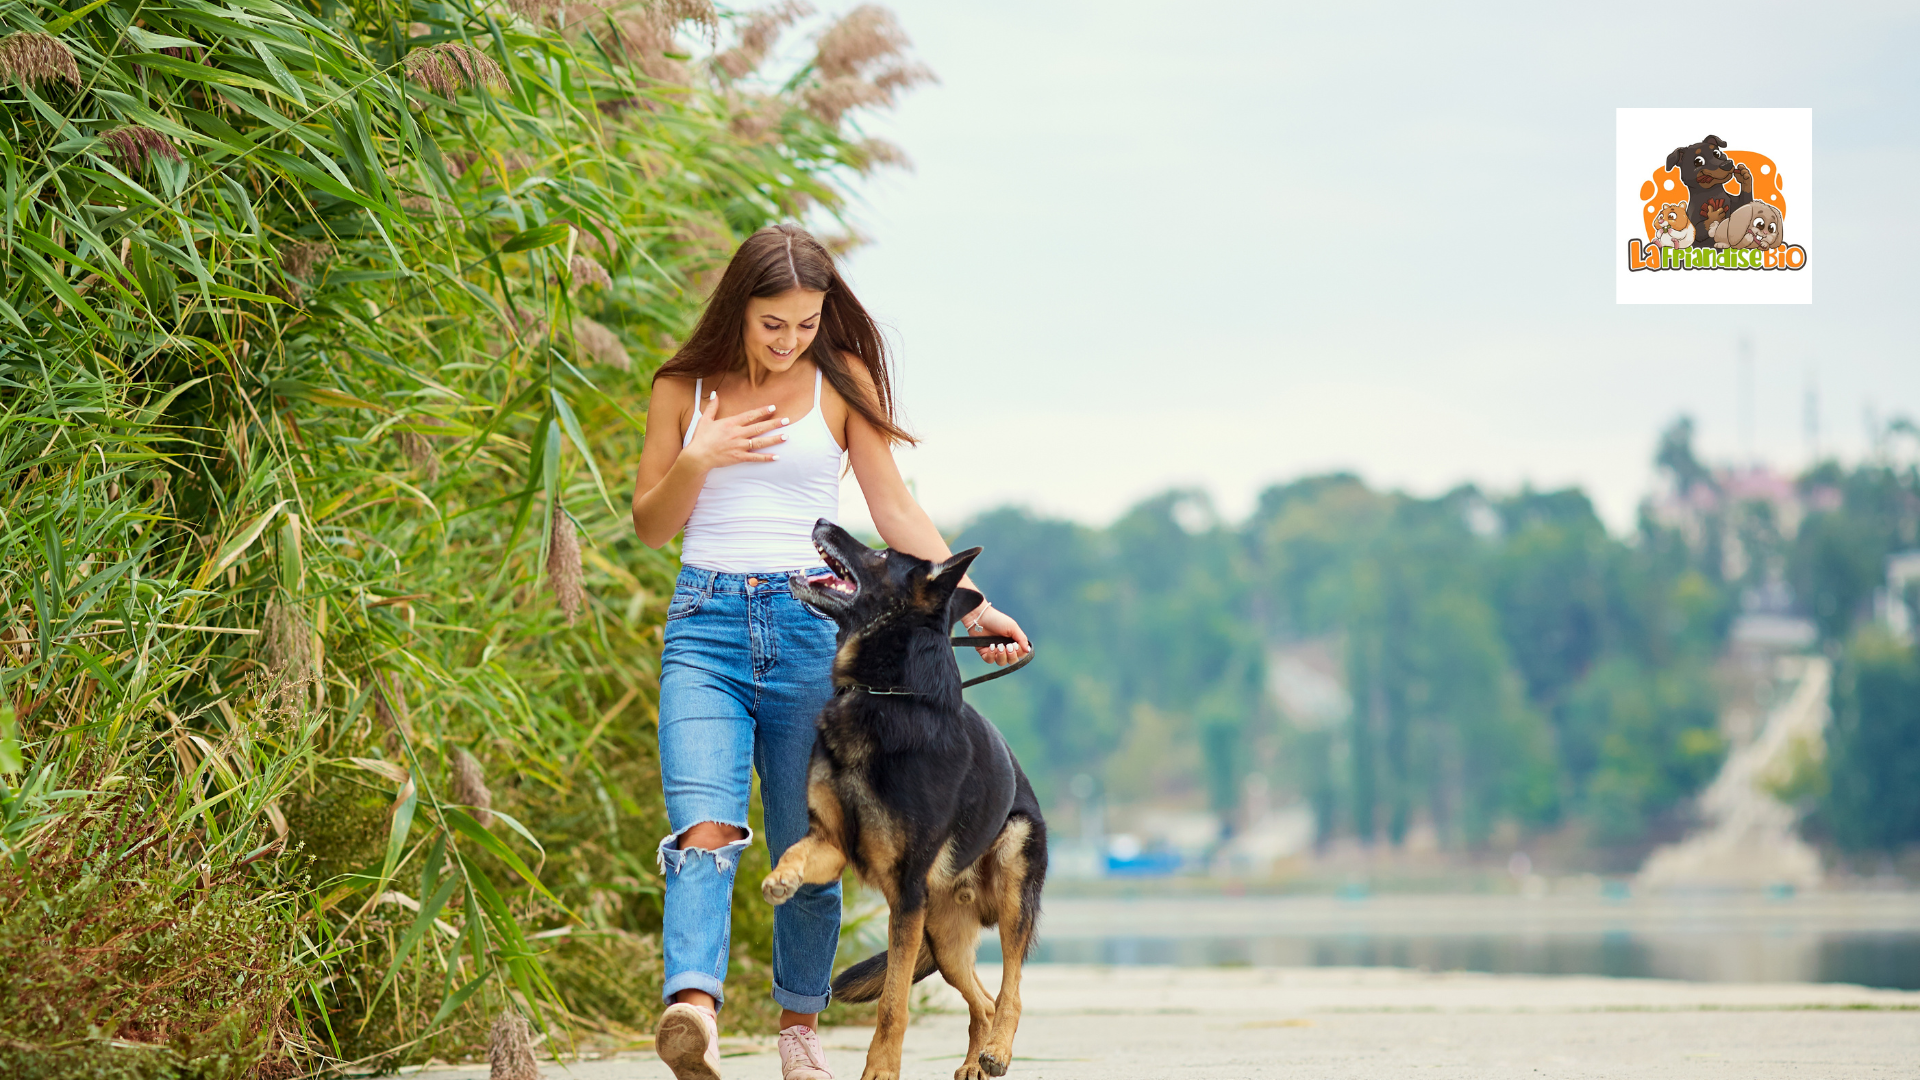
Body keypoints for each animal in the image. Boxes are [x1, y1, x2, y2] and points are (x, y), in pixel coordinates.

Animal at [764, 518, 1052, 1076]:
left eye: (880, 555)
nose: (822, 522)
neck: (883, 696)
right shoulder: (831, 845)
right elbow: (795, 851)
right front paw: (780, 880)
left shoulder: (904, 895)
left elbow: (893, 1003)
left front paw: (880, 1070)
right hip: (941, 937)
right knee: (982, 1000)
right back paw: (973, 1060)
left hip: (1007, 884)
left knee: (1011, 988)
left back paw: (998, 1052)